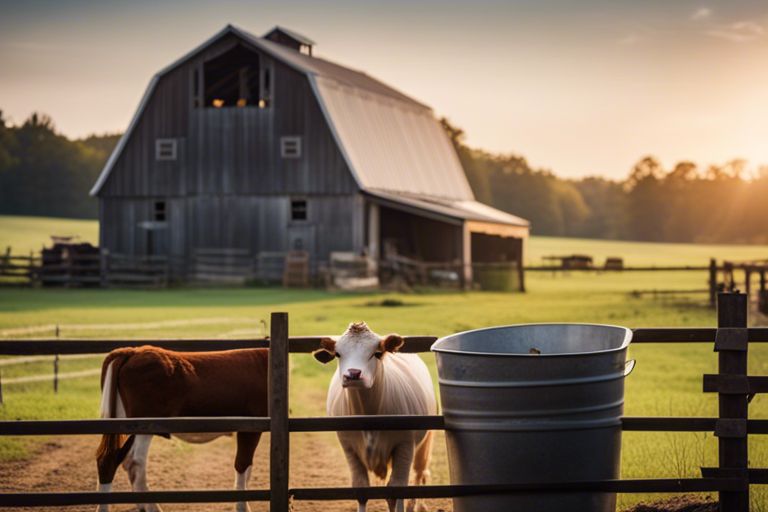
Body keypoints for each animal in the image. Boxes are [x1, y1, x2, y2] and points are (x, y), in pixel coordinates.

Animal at [94, 344, 268, 512]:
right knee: (127, 461)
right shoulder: (251, 425)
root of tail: (135, 351)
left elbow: (247, 468)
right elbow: (242, 464)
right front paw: (242, 507)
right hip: (142, 425)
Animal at [308, 322, 436, 510]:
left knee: (420, 473)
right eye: (338, 354)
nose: (353, 374)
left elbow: (398, 488)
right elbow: (362, 489)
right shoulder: (349, 447)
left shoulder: (405, 445)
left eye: (377, 353)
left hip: (424, 444)